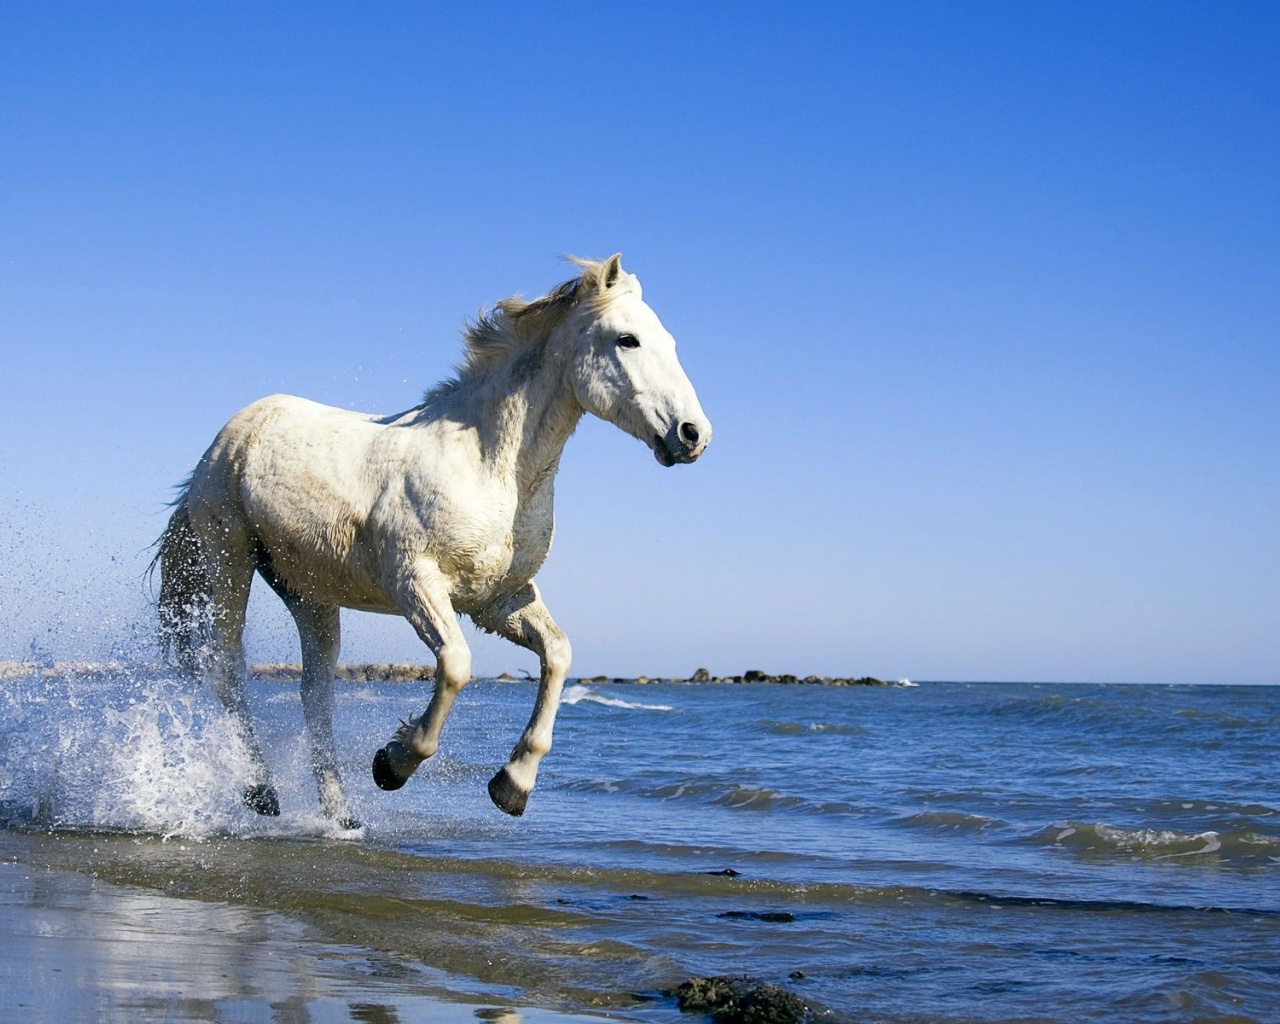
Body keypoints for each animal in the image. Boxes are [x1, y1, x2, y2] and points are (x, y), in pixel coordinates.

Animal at [156, 252, 716, 829]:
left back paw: (342, 816)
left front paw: (512, 786)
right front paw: (392, 764)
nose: (693, 434)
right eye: (627, 340)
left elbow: (558, 654)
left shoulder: (499, 599)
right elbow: (456, 665)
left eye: (669, 341)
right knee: (227, 669)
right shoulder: (416, 582)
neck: (489, 466)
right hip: (229, 559)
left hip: (310, 593)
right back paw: (261, 791)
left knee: (315, 696)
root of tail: (231, 434)